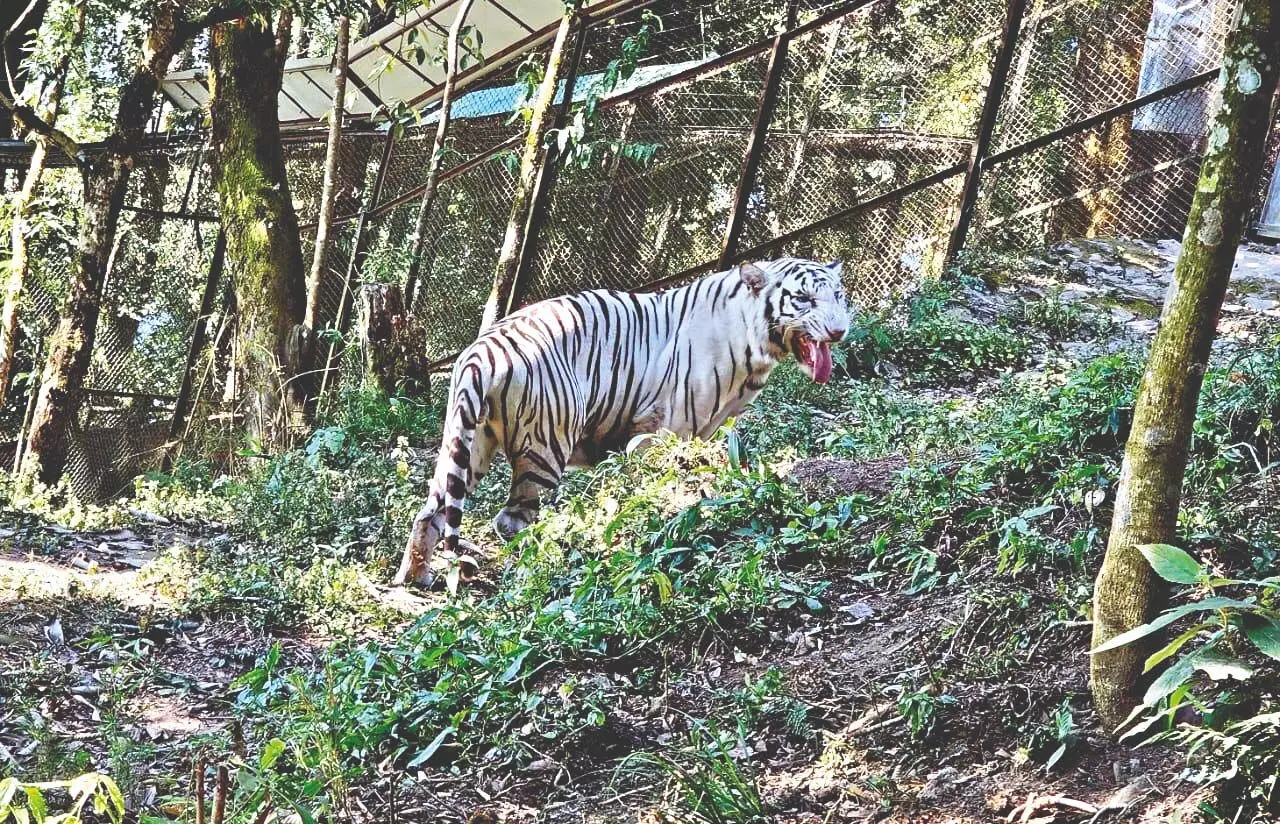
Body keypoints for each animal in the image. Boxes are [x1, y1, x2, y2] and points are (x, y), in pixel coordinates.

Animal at [394, 257, 844, 586]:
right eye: (804, 299)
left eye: (839, 295)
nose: (840, 330)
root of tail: (478, 355)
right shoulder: (663, 430)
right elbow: (656, 481)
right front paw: (660, 518)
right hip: (544, 448)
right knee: (511, 521)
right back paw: (538, 566)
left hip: (468, 444)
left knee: (431, 509)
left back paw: (415, 578)